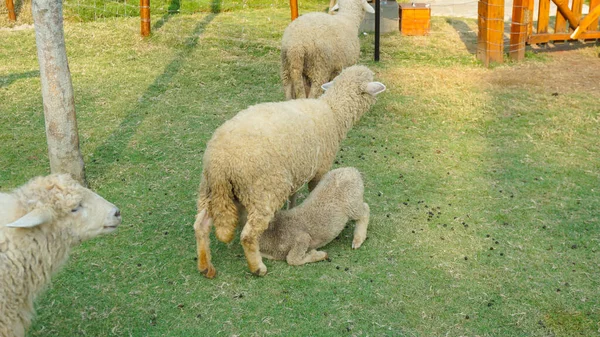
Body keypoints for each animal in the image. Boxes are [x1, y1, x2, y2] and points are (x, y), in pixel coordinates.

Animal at [195, 64, 386, 276]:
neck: (333, 112)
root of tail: (219, 162)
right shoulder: (320, 168)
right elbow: (316, 191)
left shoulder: (297, 169)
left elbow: (293, 195)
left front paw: (291, 209)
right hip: (263, 191)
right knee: (248, 235)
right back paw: (258, 268)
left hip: (210, 189)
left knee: (200, 225)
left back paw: (204, 265)